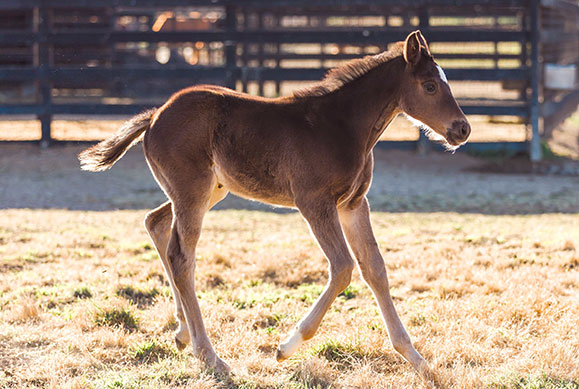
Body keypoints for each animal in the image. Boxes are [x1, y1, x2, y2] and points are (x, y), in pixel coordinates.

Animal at [79, 30, 472, 376]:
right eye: (430, 85)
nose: (462, 129)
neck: (341, 126)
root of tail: (155, 115)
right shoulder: (315, 203)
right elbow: (343, 267)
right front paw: (286, 346)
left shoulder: (353, 205)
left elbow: (374, 268)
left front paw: (416, 359)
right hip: (193, 191)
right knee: (181, 256)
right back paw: (210, 356)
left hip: (207, 191)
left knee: (156, 224)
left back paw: (183, 333)